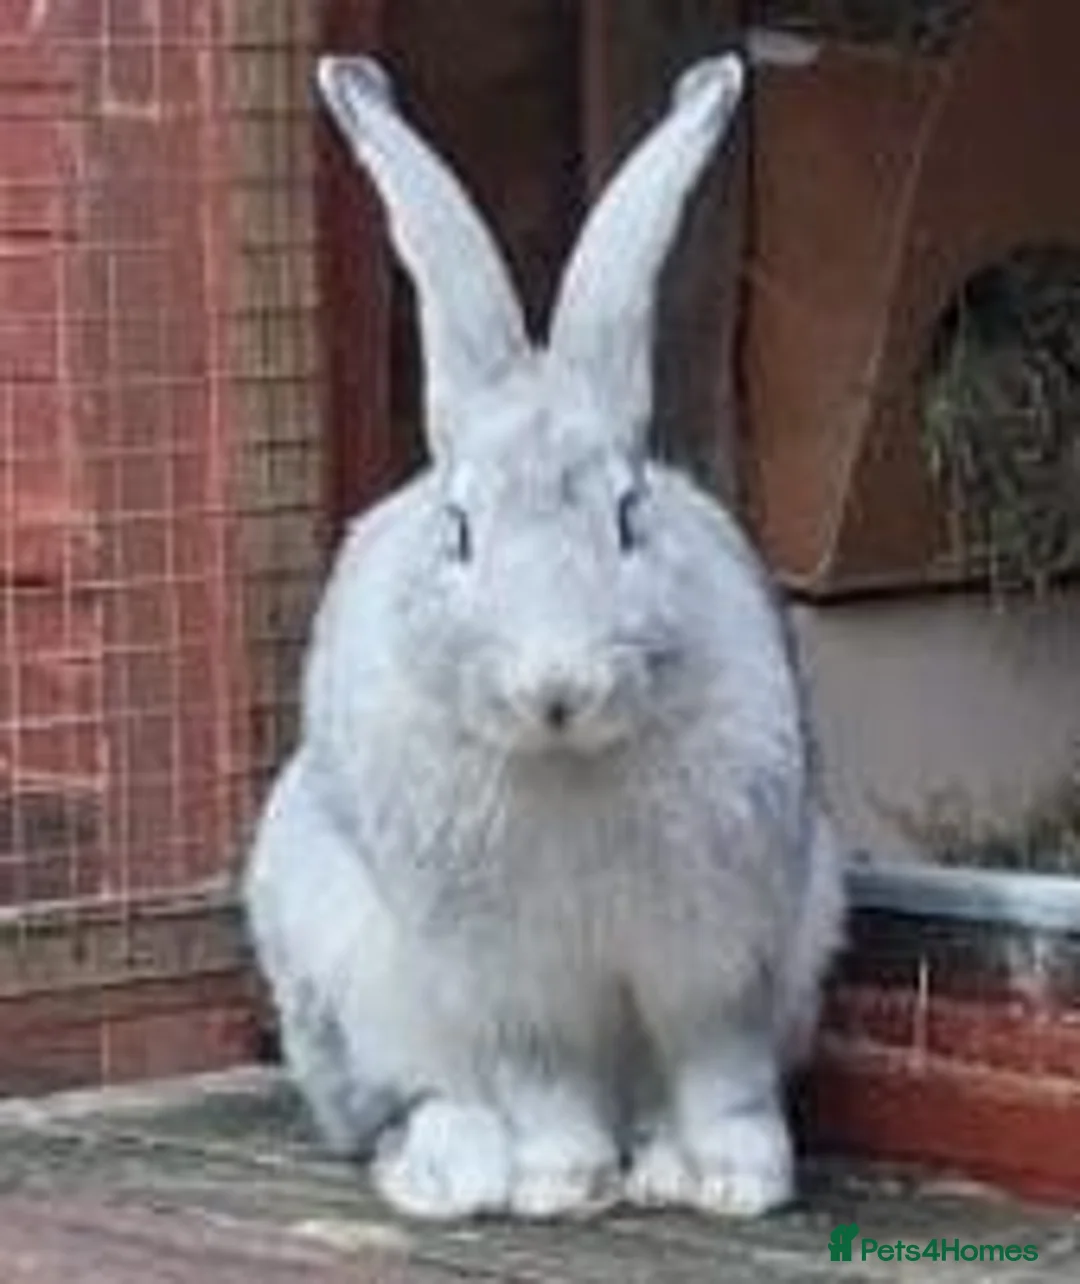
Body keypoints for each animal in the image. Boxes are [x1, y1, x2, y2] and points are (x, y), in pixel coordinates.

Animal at [242, 50, 845, 1223]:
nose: (556, 688)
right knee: (415, 1100)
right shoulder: (514, 986)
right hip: (335, 957)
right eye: (459, 531)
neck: (570, 764)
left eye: (630, 516)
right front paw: (565, 1185)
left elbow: (719, 1074)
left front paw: (738, 1183)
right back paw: (458, 1171)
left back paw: (656, 1167)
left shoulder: (726, 958)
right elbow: (547, 1081)